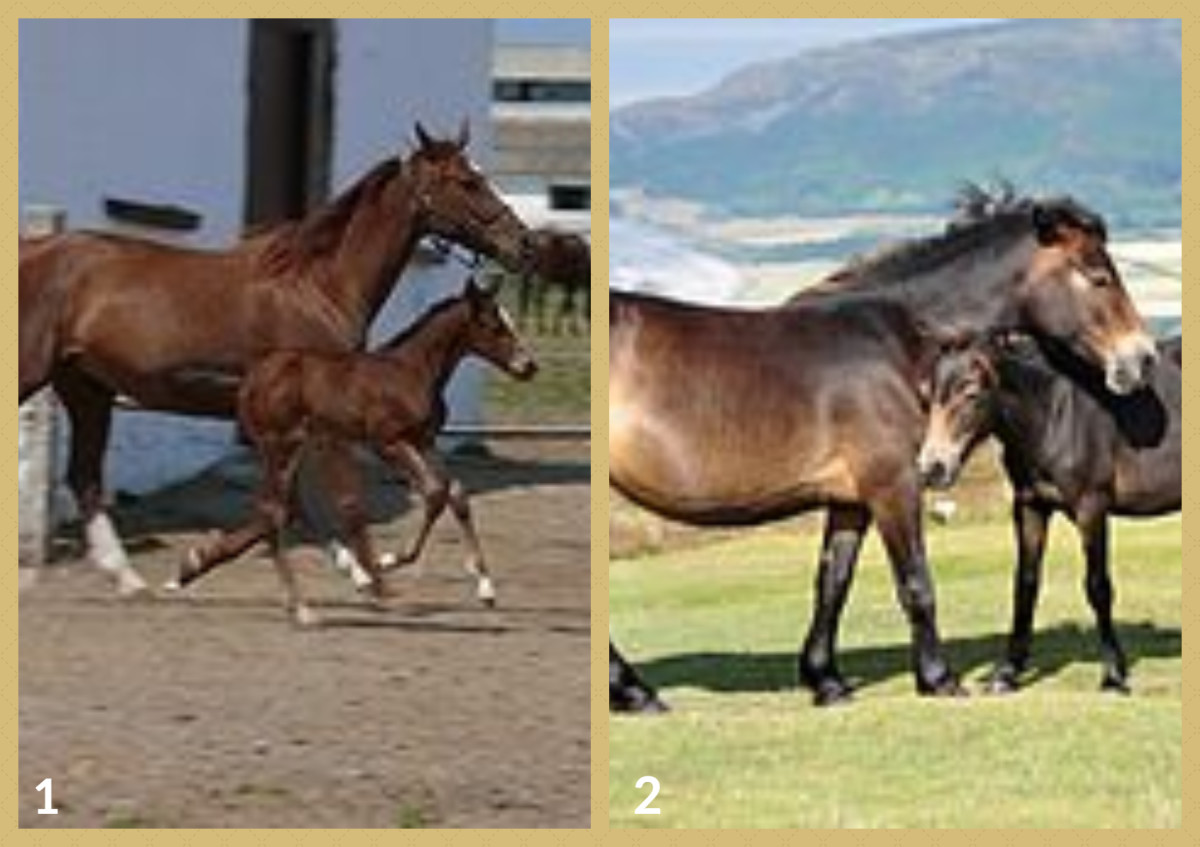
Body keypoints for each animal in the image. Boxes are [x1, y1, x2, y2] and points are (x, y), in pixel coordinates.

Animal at [168, 276, 537, 625]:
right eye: (493, 325)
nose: (529, 366)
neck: (413, 370)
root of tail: (251, 379)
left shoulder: (424, 441)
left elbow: (456, 493)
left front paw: (486, 588)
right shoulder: (388, 442)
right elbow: (434, 492)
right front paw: (389, 561)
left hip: (291, 448)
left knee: (281, 509)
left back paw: (195, 568)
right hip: (280, 445)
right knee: (273, 512)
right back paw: (302, 607)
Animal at [917, 332, 1181, 693]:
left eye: (971, 392)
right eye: (927, 394)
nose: (933, 468)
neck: (1056, 412)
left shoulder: (1091, 509)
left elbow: (1098, 587)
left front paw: (1113, 675)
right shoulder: (1030, 507)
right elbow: (1025, 584)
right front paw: (1007, 673)